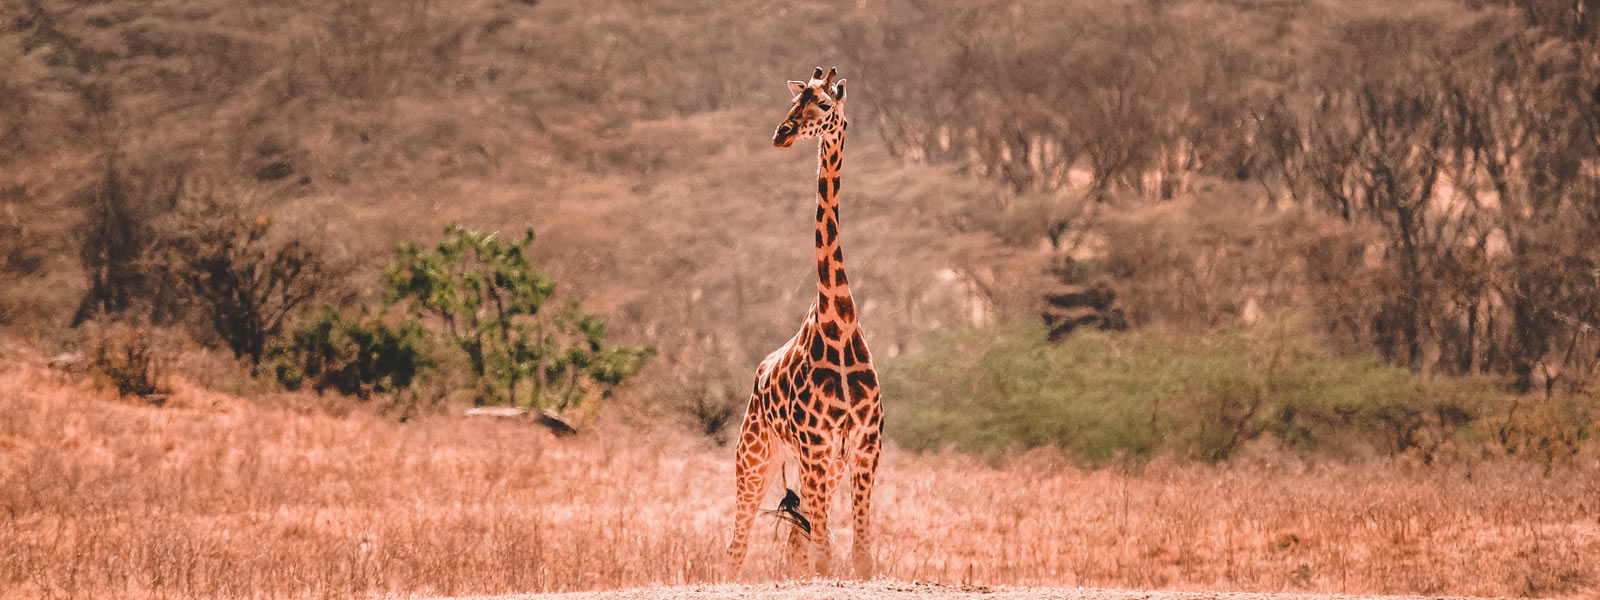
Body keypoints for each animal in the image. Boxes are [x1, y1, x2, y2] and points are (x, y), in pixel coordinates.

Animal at [729, 68, 889, 579]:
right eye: (796, 99)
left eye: (823, 105)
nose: (781, 133)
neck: (839, 324)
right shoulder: (817, 444)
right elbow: (826, 555)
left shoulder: (863, 444)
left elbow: (860, 556)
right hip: (756, 456)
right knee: (738, 544)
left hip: (816, 464)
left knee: (799, 542)